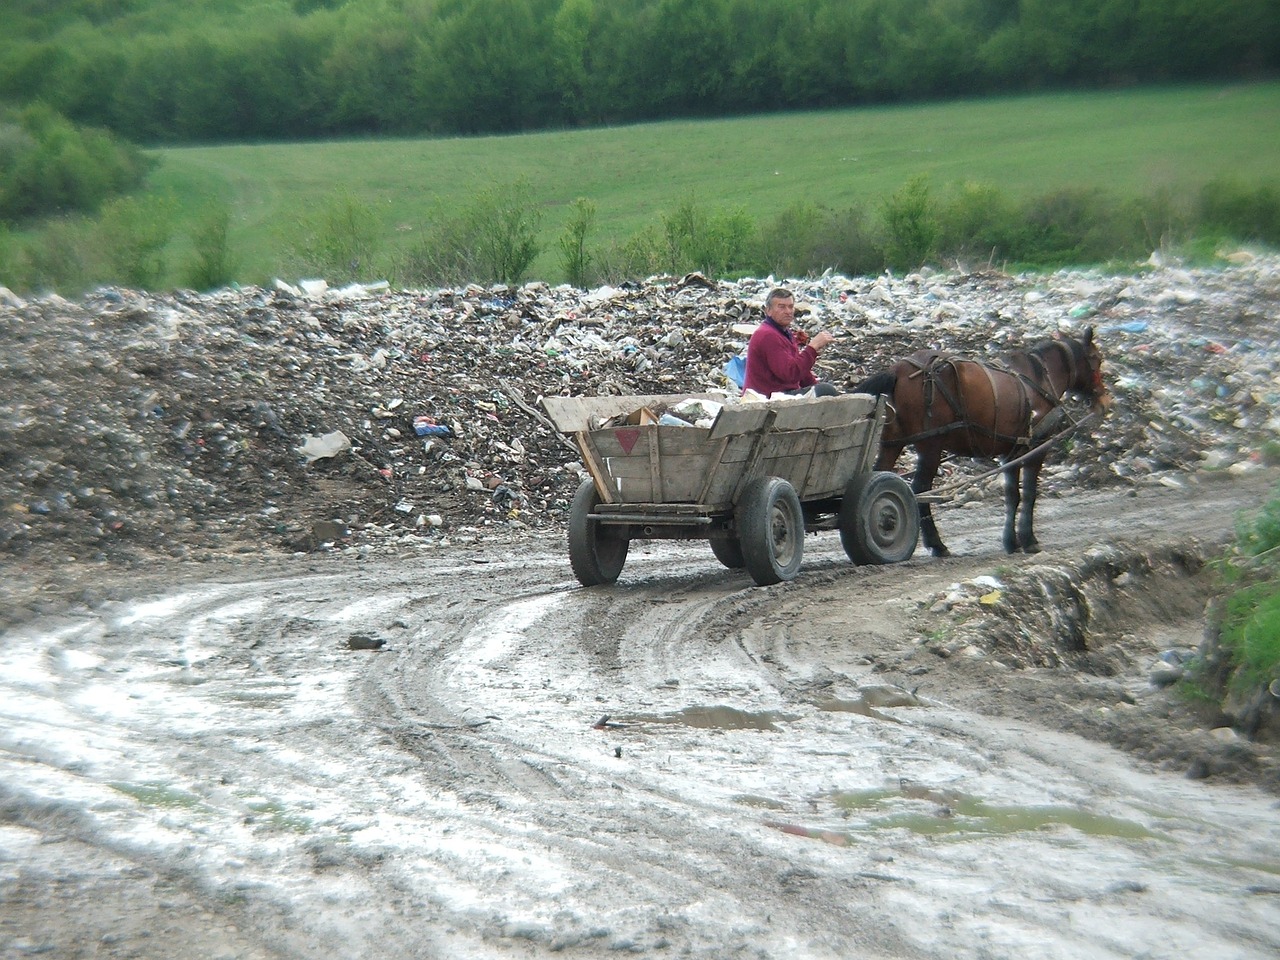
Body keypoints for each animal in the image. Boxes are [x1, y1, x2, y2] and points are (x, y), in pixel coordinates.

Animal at [849, 330, 1111, 560]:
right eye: (1097, 359)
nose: (1104, 400)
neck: (1039, 378)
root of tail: (898, 370)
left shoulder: (1011, 452)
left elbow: (1012, 495)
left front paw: (1011, 542)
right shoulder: (1036, 448)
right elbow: (1029, 493)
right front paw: (1029, 540)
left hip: (892, 443)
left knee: (877, 477)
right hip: (931, 445)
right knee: (920, 489)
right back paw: (937, 544)